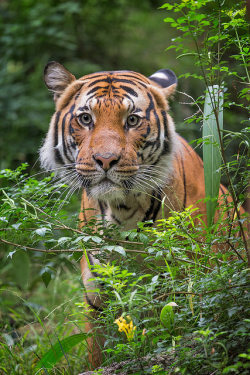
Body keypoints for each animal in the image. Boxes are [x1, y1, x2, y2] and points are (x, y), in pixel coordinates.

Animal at [40, 62, 234, 370]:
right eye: (85, 118)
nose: (105, 160)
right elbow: (99, 355)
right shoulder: (97, 298)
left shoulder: (185, 291)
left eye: (132, 120)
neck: (122, 209)